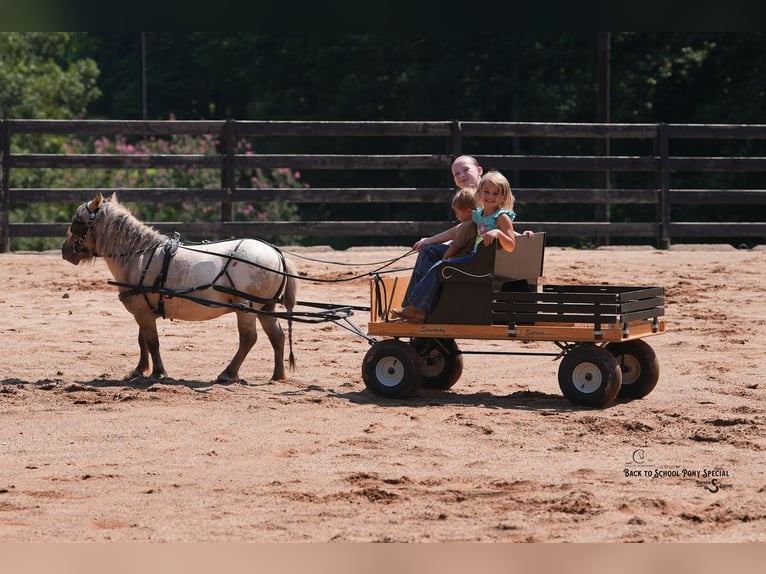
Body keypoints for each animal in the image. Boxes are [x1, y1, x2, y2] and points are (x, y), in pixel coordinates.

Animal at [61, 193, 298, 383]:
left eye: (76, 221)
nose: (65, 250)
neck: (137, 255)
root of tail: (277, 253)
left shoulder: (143, 311)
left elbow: (153, 342)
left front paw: (157, 373)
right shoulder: (143, 309)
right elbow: (142, 340)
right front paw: (139, 370)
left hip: (246, 308)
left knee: (248, 338)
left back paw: (228, 373)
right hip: (265, 307)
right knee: (277, 336)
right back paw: (278, 374)